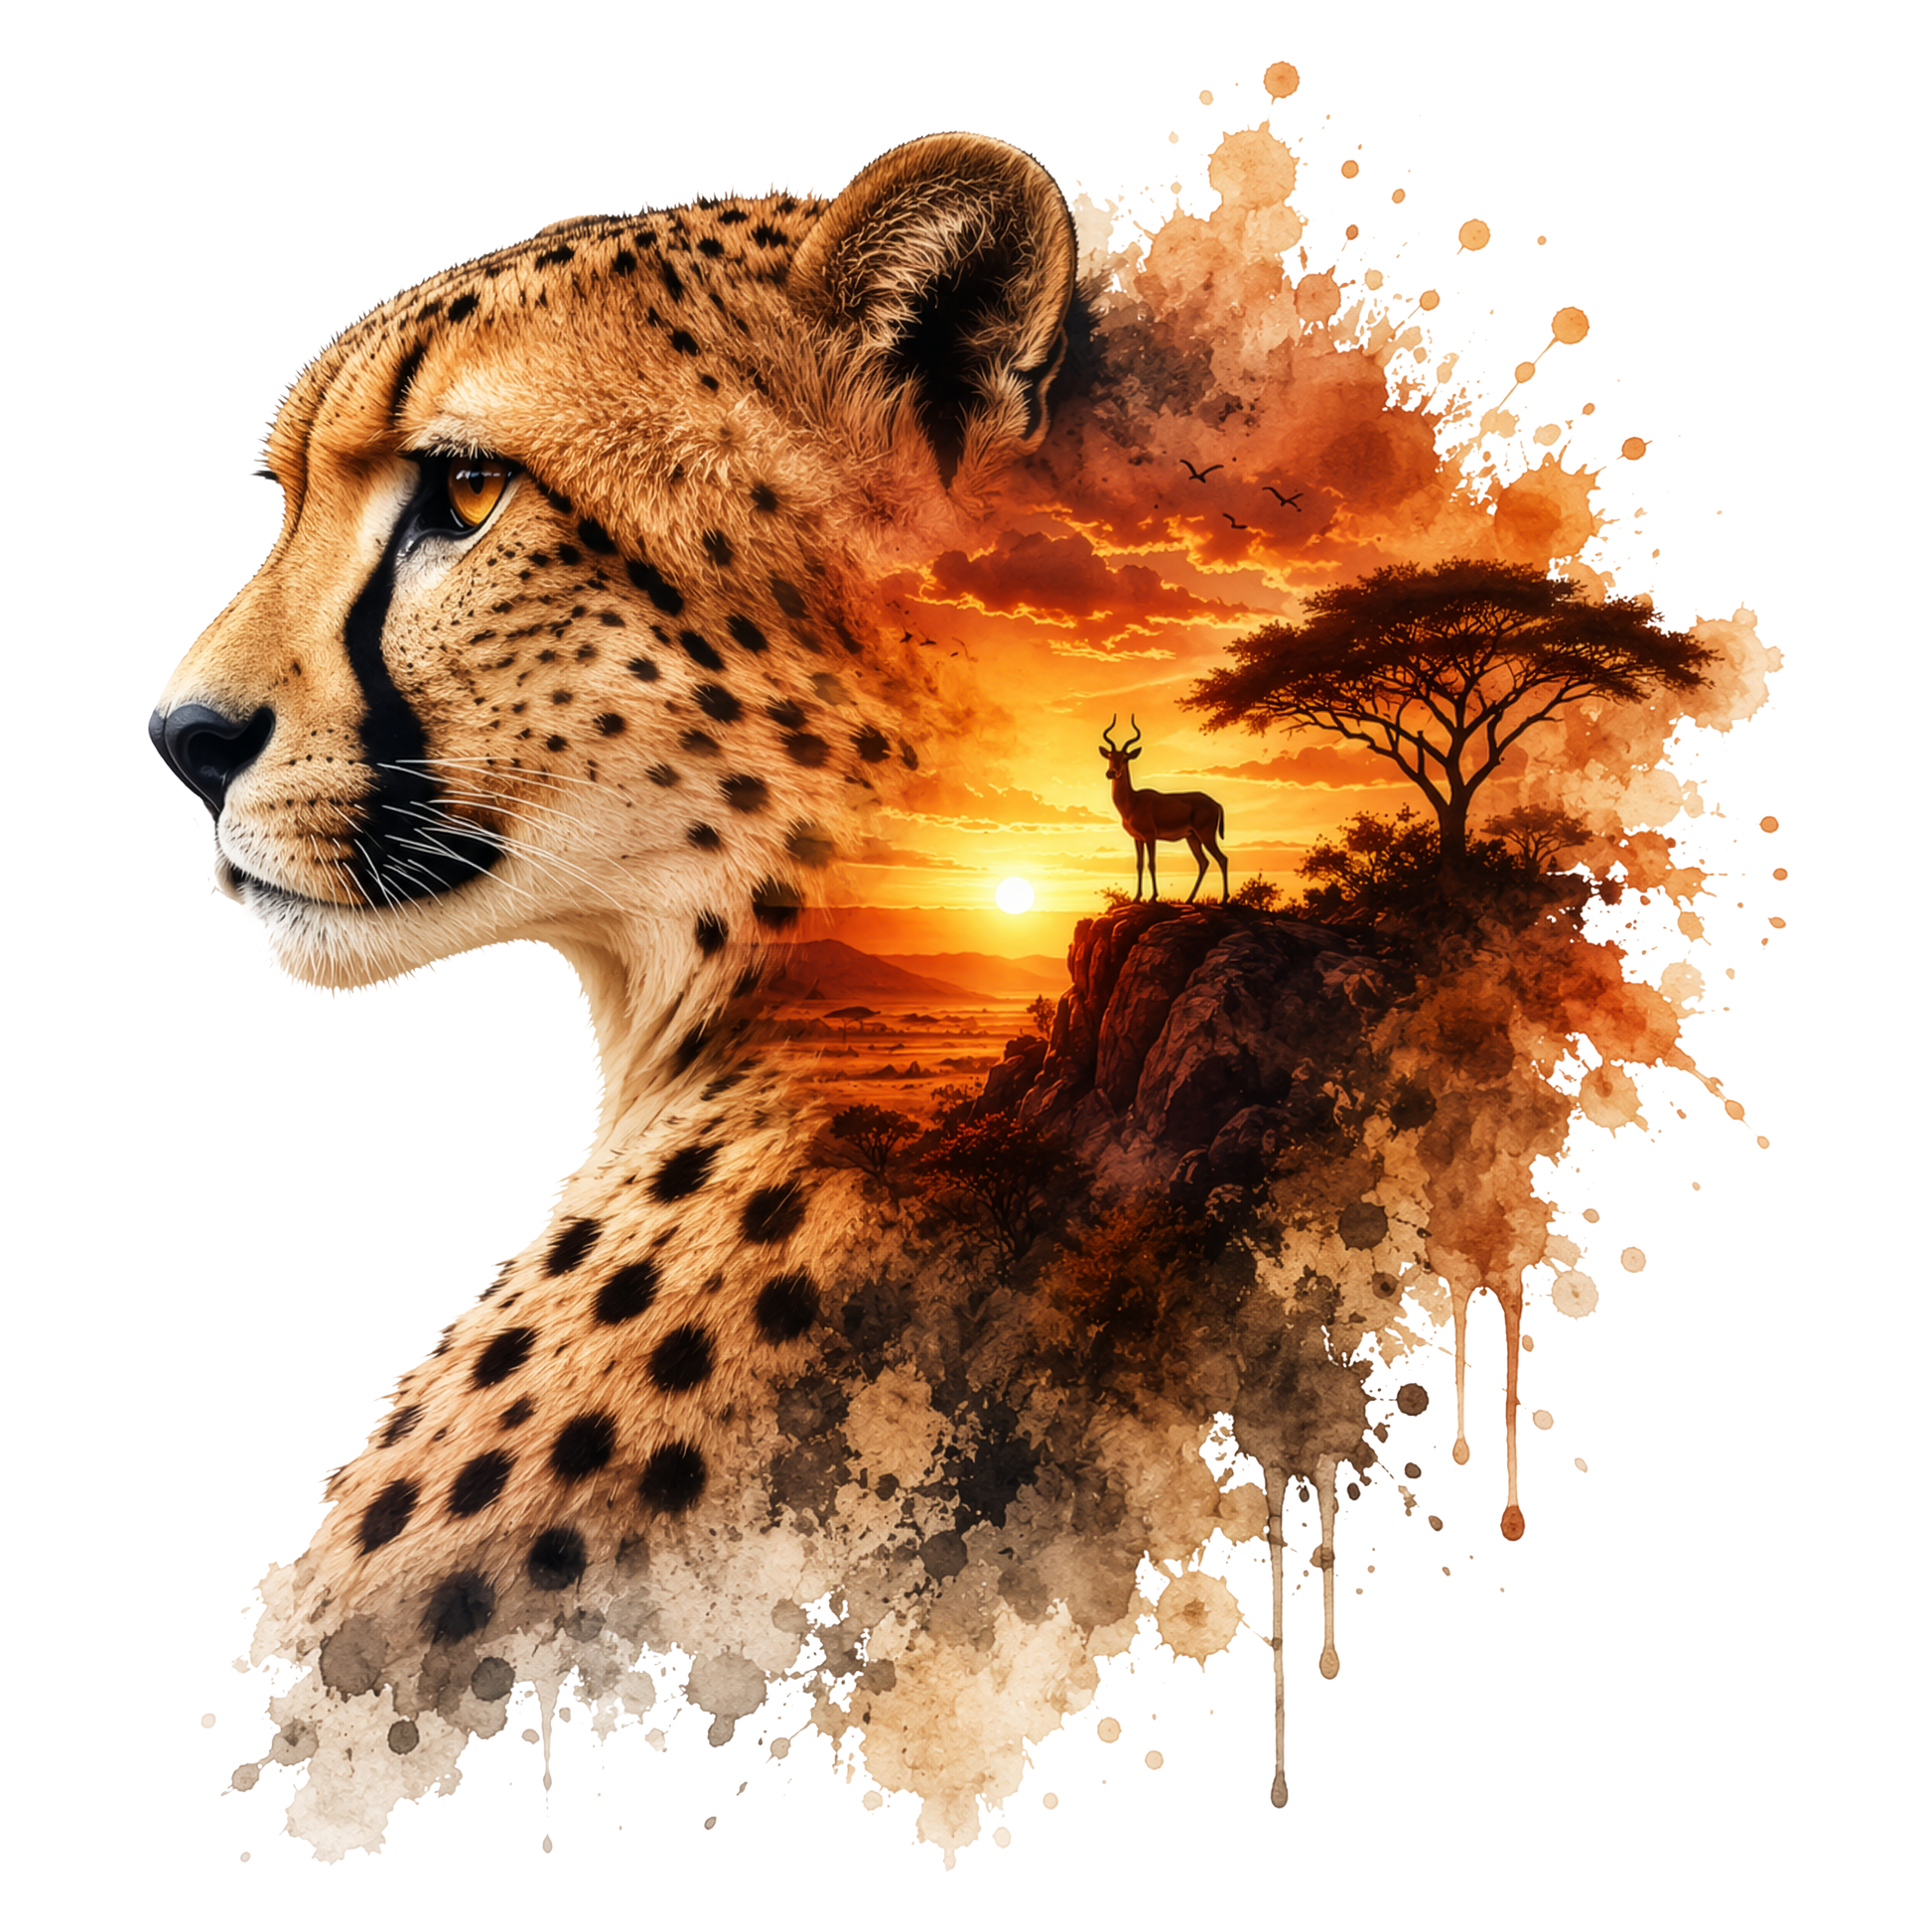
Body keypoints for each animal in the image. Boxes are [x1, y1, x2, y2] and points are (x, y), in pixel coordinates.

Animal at [1099, 715, 1229, 903]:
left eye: (1125, 758)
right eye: (1110, 756)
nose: (1111, 773)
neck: (1133, 802)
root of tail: (1216, 803)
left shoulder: (1150, 836)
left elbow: (1152, 864)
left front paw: (1153, 897)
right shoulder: (1137, 838)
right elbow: (1139, 865)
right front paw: (1136, 898)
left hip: (1206, 835)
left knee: (1222, 859)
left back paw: (1224, 898)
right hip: (1193, 838)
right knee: (1204, 862)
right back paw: (1189, 899)